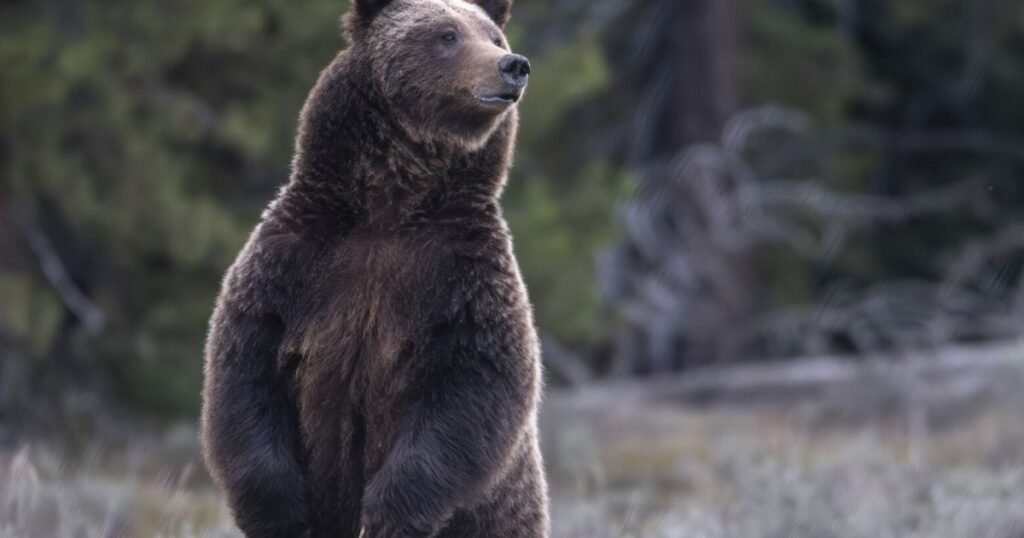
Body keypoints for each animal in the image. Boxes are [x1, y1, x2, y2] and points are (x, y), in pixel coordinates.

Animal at [199, 0, 549, 537]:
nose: (514, 66)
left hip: (499, 520)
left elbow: (475, 389)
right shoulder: (293, 262)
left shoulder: (464, 277)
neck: (389, 206)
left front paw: (389, 514)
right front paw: (281, 513)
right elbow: (244, 374)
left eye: (494, 37)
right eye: (448, 34)